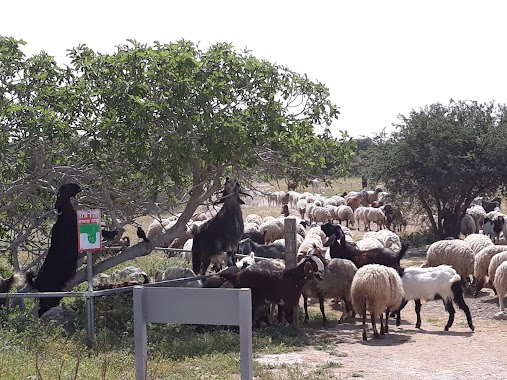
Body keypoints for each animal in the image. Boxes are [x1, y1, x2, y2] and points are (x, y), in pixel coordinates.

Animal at [26, 183, 82, 316]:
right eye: (66, 187)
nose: (78, 186)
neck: (65, 217)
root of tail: (37, 283)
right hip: (51, 294)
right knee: (44, 308)